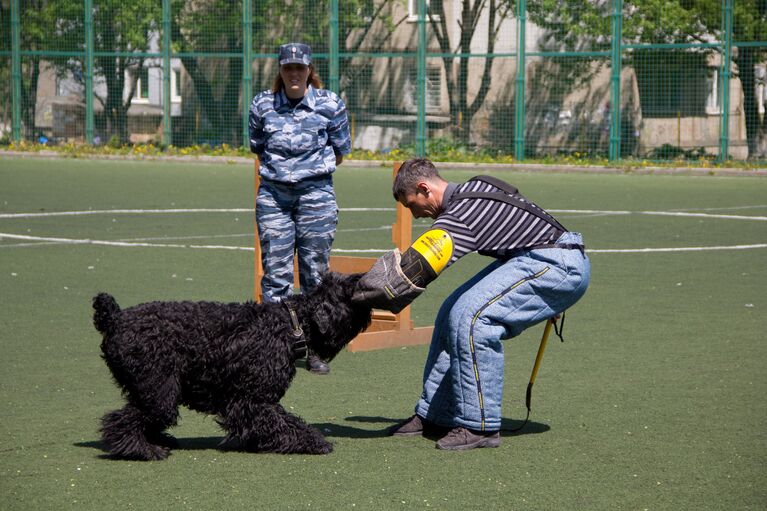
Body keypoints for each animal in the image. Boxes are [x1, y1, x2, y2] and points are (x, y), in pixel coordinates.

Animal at [93, 274, 372, 462]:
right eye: (347, 290)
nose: (361, 278)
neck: (290, 325)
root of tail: (114, 318)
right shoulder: (252, 399)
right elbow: (283, 423)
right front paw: (313, 442)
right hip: (159, 391)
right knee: (121, 421)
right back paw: (144, 449)